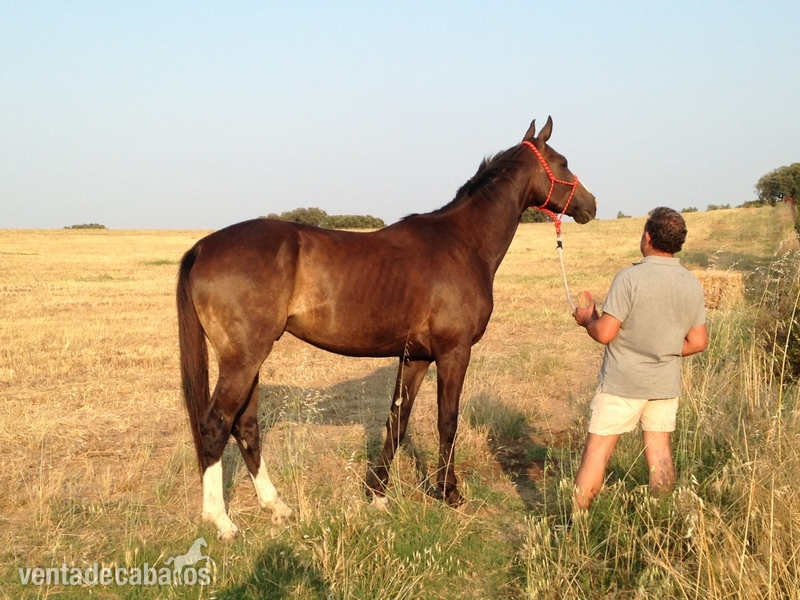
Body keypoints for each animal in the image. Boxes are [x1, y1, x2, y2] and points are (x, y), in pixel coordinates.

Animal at [177, 117, 596, 539]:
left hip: (250, 362)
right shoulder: (454, 353)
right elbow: (447, 421)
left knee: (245, 426)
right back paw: (221, 521)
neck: (462, 243)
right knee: (215, 425)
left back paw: (275, 506)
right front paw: (450, 493)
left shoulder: (416, 358)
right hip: (244, 360)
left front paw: (377, 493)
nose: (591, 205)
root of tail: (203, 248)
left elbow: (398, 421)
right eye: (562, 162)